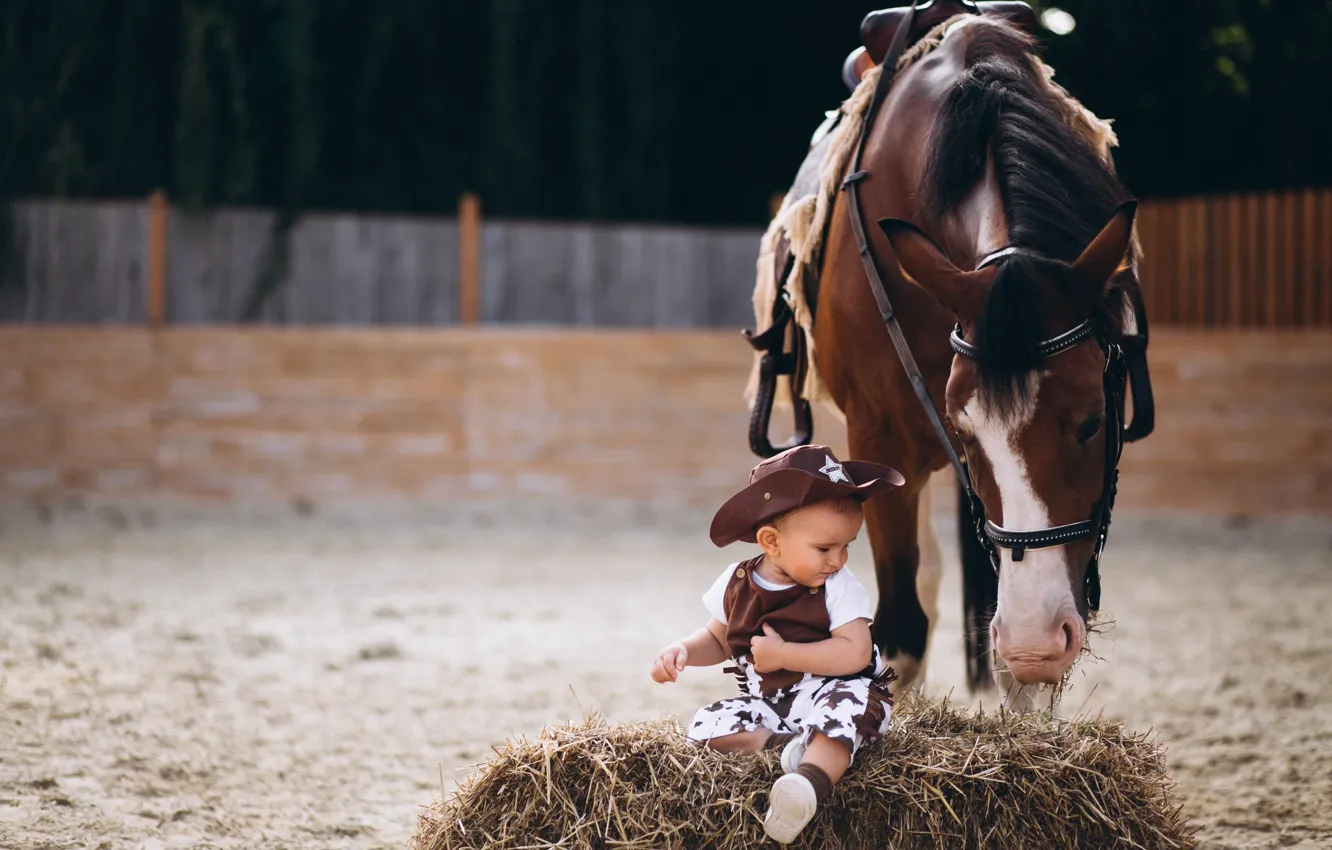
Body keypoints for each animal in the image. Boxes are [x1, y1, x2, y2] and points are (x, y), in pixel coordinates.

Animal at [806, 5, 1151, 709]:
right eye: (965, 434)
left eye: (1093, 423)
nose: (1034, 637)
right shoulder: (879, 440)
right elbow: (900, 631)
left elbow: (1020, 680)